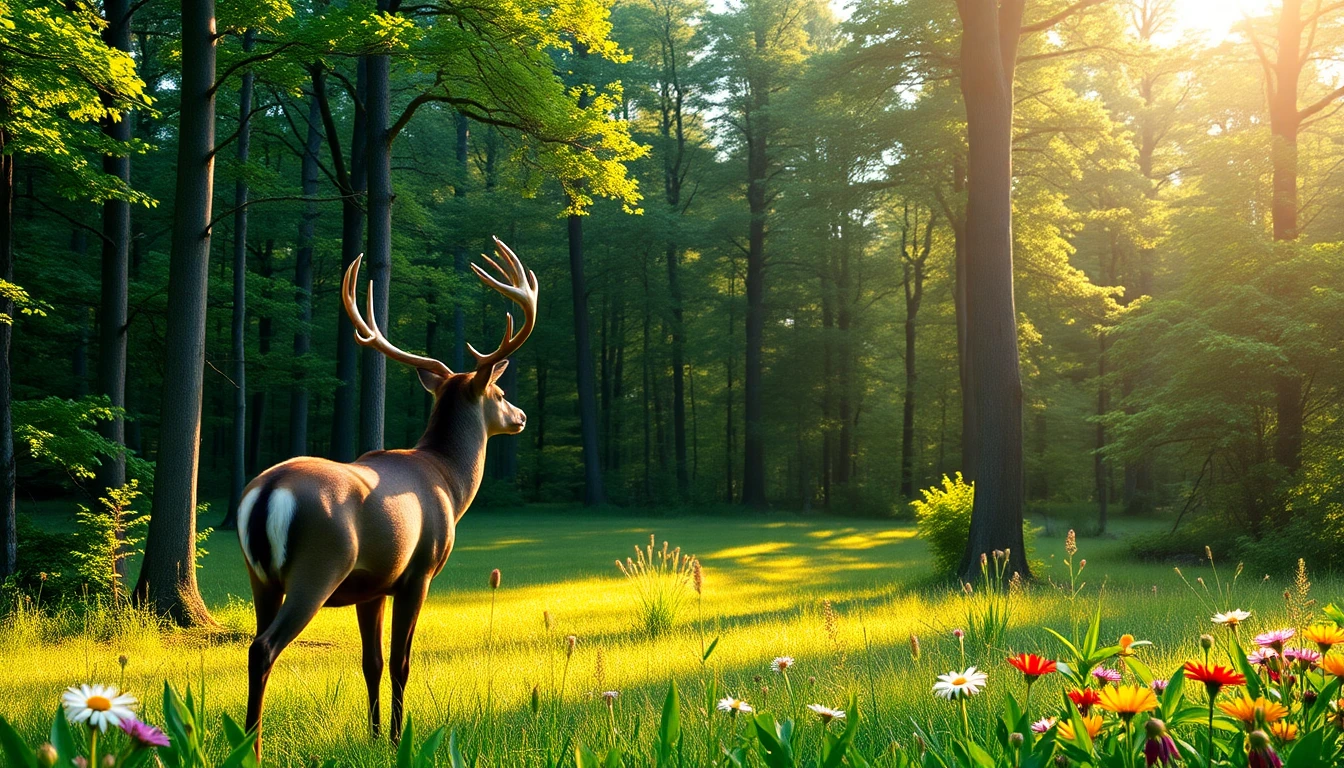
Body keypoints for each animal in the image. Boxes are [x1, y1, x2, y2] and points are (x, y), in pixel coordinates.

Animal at [237, 237, 537, 758]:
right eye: (499, 391)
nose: (520, 416)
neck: (449, 482)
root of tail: (268, 492)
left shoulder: (371, 585)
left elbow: (370, 662)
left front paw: (374, 736)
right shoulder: (418, 572)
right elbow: (401, 662)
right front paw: (399, 739)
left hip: (262, 577)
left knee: (256, 641)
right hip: (319, 566)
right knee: (264, 646)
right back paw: (252, 749)